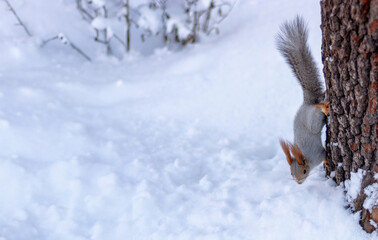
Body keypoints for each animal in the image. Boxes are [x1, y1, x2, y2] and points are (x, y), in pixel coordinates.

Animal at [276, 16, 330, 184]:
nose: (299, 182)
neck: (306, 158)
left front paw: (327, 162)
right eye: (291, 173)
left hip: (313, 120)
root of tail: (306, 105)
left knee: (317, 109)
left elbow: (324, 155)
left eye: (304, 171)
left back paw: (323, 107)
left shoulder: (317, 155)